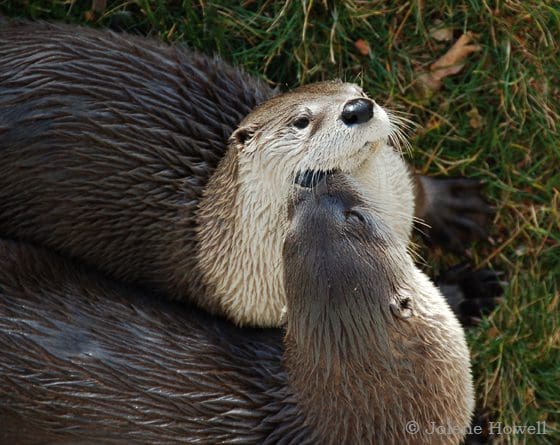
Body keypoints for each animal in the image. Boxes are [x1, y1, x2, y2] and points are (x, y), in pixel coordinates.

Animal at [0, 22, 492, 324]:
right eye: (302, 120)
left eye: (359, 89)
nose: (358, 107)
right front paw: (466, 292)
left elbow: (418, 190)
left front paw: (459, 209)